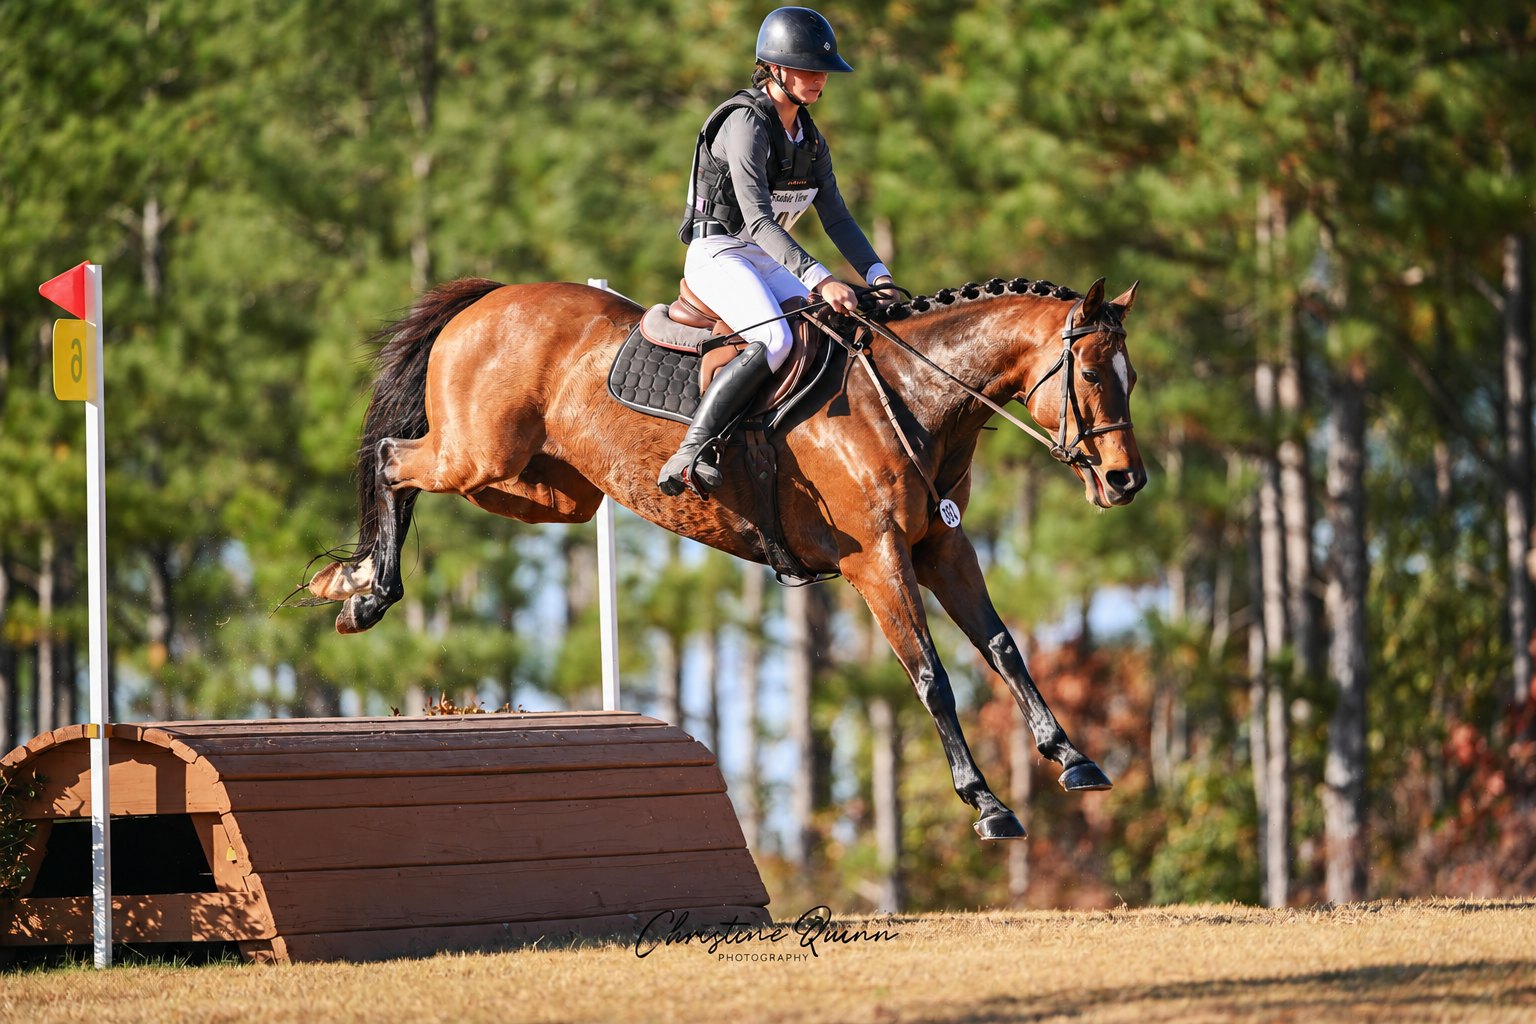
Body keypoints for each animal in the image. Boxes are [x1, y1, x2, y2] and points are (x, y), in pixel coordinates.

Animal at [306, 274, 1147, 839]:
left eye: (1131, 376)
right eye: (1092, 374)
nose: (1125, 481)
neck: (910, 395)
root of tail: (492, 296)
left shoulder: (942, 544)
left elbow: (1003, 647)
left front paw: (1073, 759)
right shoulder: (877, 560)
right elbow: (932, 677)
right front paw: (988, 804)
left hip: (546, 487)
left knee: (424, 470)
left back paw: (353, 583)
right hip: (476, 454)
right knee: (391, 458)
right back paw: (359, 588)